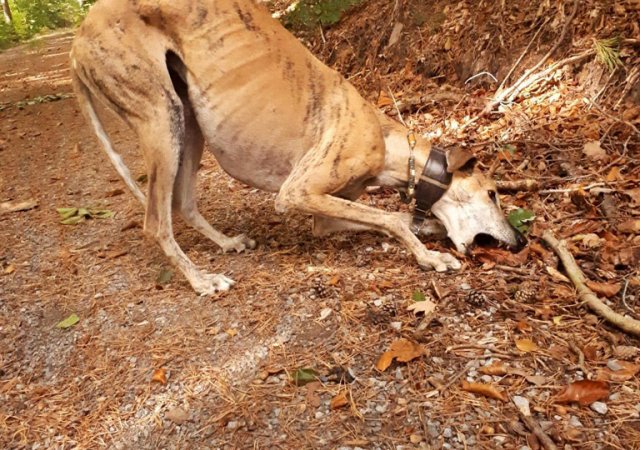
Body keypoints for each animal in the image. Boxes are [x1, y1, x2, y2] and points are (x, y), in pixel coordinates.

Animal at [70, 0, 524, 296]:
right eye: (493, 193)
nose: (520, 241)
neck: (391, 145)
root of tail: (78, 38)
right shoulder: (298, 191)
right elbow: (389, 219)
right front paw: (430, 257)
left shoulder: (329, 207)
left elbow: (387, 217)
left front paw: (426, 227)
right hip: (162, 119)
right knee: (156, 221)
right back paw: (201, 279)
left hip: (189, 122)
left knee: (182, 202)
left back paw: (226, 244)